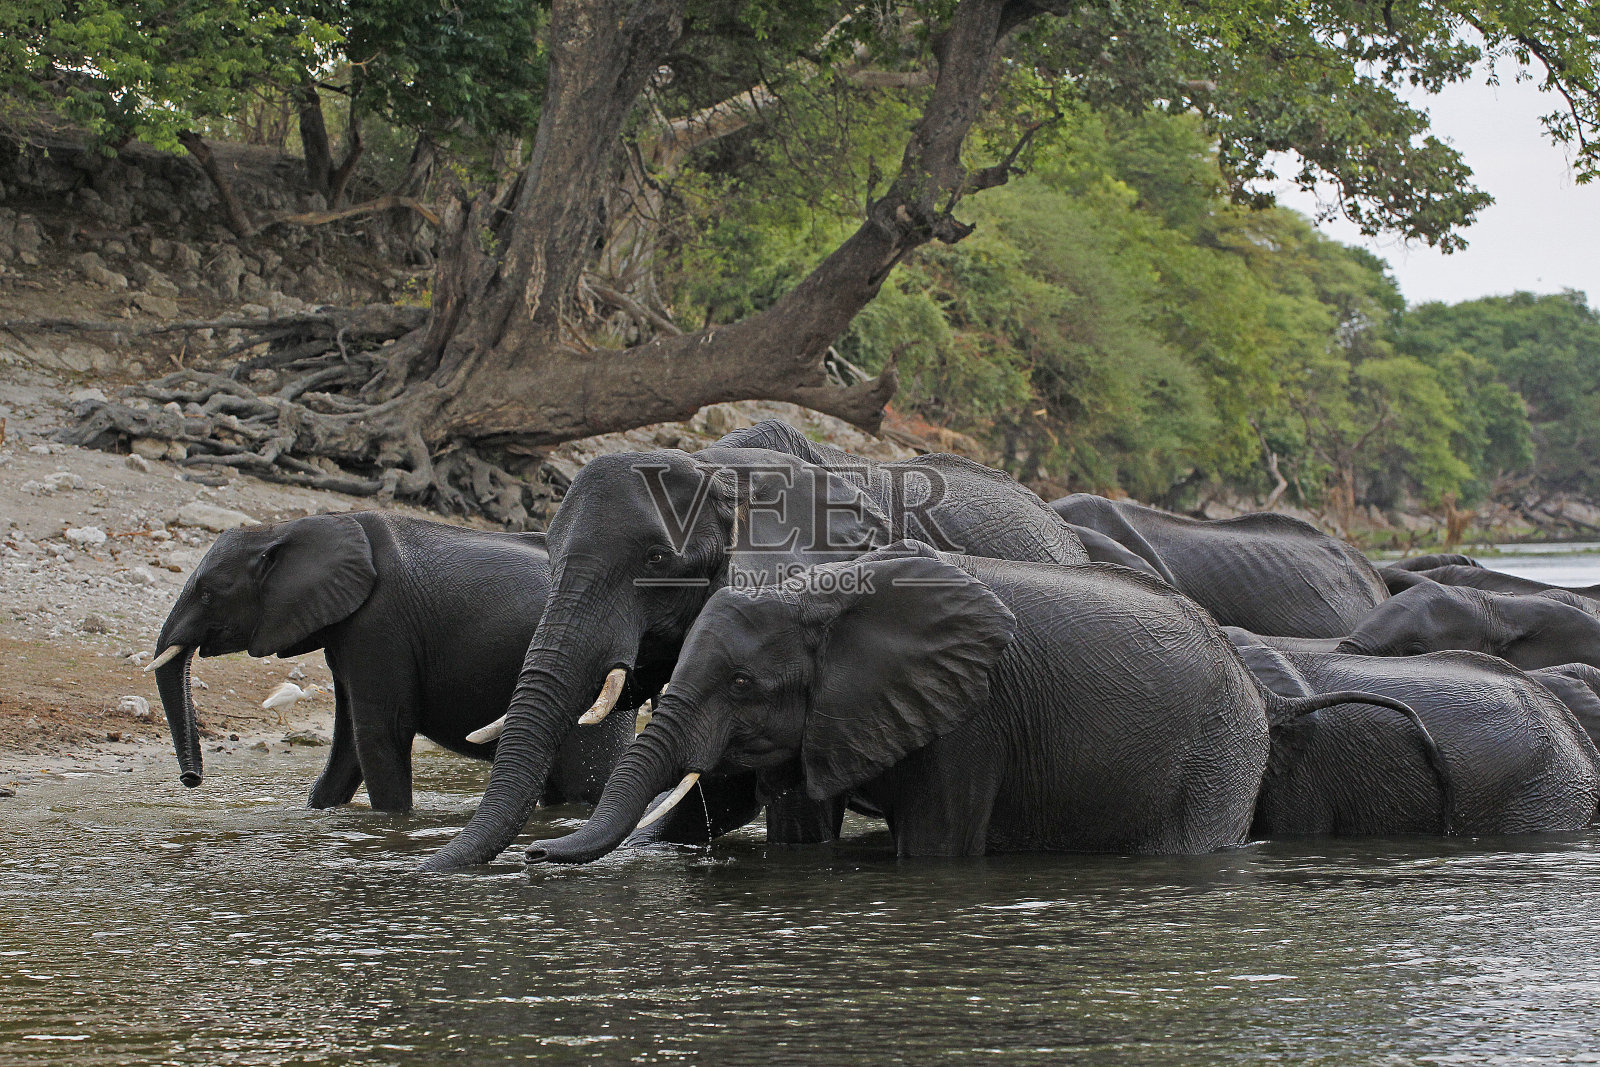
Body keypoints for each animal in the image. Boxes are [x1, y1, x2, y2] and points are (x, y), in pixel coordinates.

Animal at [149, 512, 634, 811]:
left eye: (209, 593)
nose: (191, 780)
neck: (288, 528)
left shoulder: (380, 625)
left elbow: (379, 732)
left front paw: (393, 826)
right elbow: (347, 742)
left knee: (586, 783)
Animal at [526, 542, 1436, 864]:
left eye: (744, 684)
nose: (534, 855)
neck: (826, 589)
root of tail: (1256, 686)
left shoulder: (973, 720)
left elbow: (936, 847)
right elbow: (799, 833)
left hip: (1219, 750)